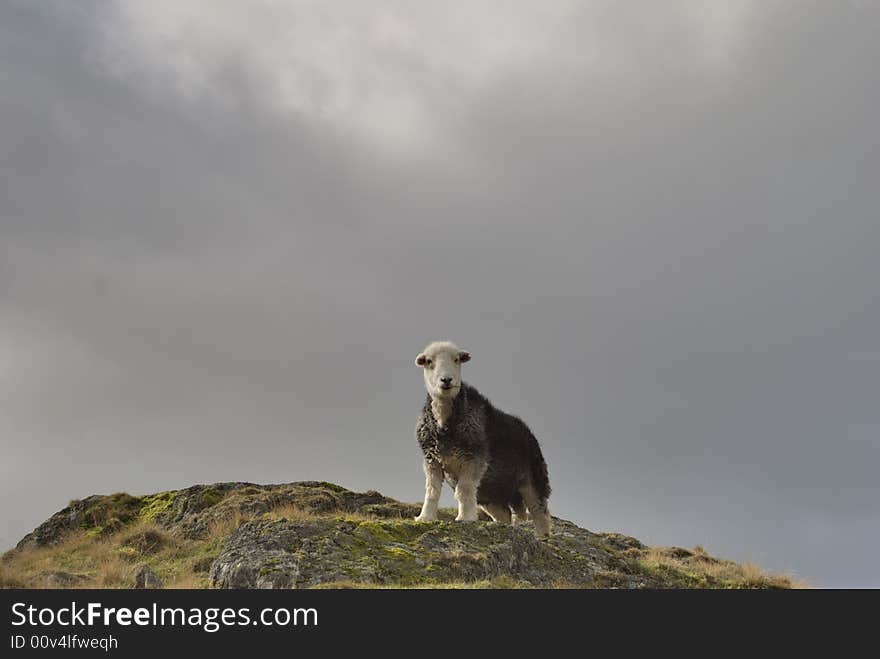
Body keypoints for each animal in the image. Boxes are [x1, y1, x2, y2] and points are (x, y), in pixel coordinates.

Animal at [412, 340, 552, 536]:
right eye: (429, 362)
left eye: (456, 359)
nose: (446, 380)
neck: (445, 424)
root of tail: (527, 430)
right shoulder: (431, 458)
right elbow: (432, 490)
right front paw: (425, 517)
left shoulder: (474, 458)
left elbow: (464, 489)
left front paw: (465, 518)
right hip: (490, 493)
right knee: (505, 513)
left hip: (533, 477)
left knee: (540, 512)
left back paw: (543, 537)